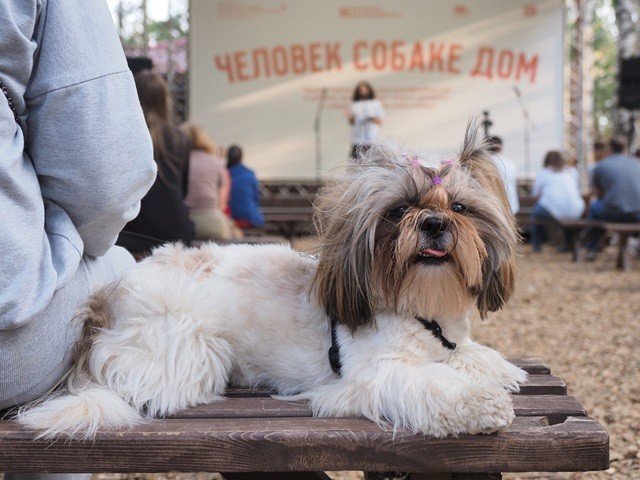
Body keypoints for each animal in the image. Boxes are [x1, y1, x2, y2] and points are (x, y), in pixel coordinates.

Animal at [18, 121, 524, 438]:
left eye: (459, 207)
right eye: (399, 211)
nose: (434, 223)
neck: (419, 310)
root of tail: (111, 295)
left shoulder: (446, 340)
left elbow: (467, 353)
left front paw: (496, 366)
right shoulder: (375, 374)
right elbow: (433, 381)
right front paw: (480, 403)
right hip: (190, 348)